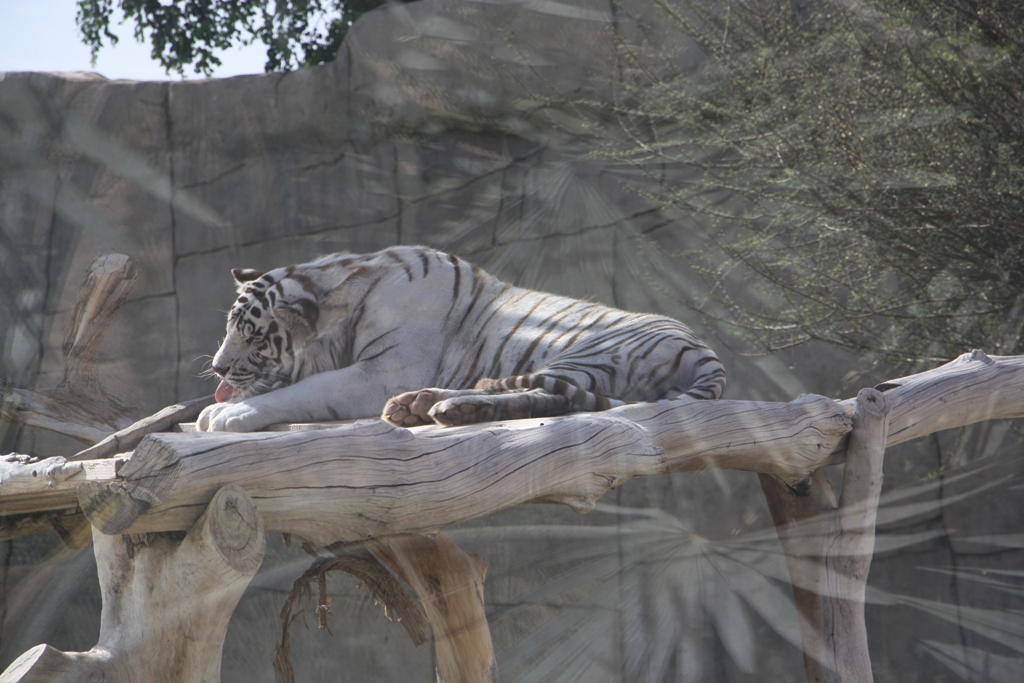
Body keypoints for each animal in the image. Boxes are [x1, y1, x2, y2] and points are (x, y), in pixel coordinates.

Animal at [195, 246, 724, 432]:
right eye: (228, 328)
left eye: (252, 337)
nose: (218, 368)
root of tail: (702, 350)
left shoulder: (383, 371)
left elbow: (303, 392)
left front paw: (228, 414)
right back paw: (430, 406)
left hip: (587, 349)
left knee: (542, 392)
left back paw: (436, 404)